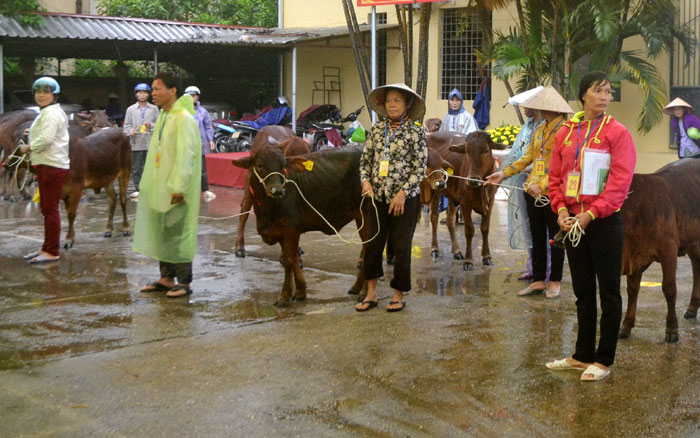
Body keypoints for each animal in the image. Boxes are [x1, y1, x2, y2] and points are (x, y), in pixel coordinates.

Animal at [452, 132, 506, 270]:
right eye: (467, 151)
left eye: (486, 150)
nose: (472, 180)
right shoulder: (465, 203)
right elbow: (469, 230)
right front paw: (468, 260)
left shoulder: (490, 202)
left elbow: (485, 228)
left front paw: (487, 256)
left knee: (449, 222)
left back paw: (456, 251)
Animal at [616, 159, 700, 344]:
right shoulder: (635, 256)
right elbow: (632, 290)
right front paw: (626, 326)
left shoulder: (669, 251)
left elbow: (669, 289)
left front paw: (672, 329)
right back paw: (692, 307)